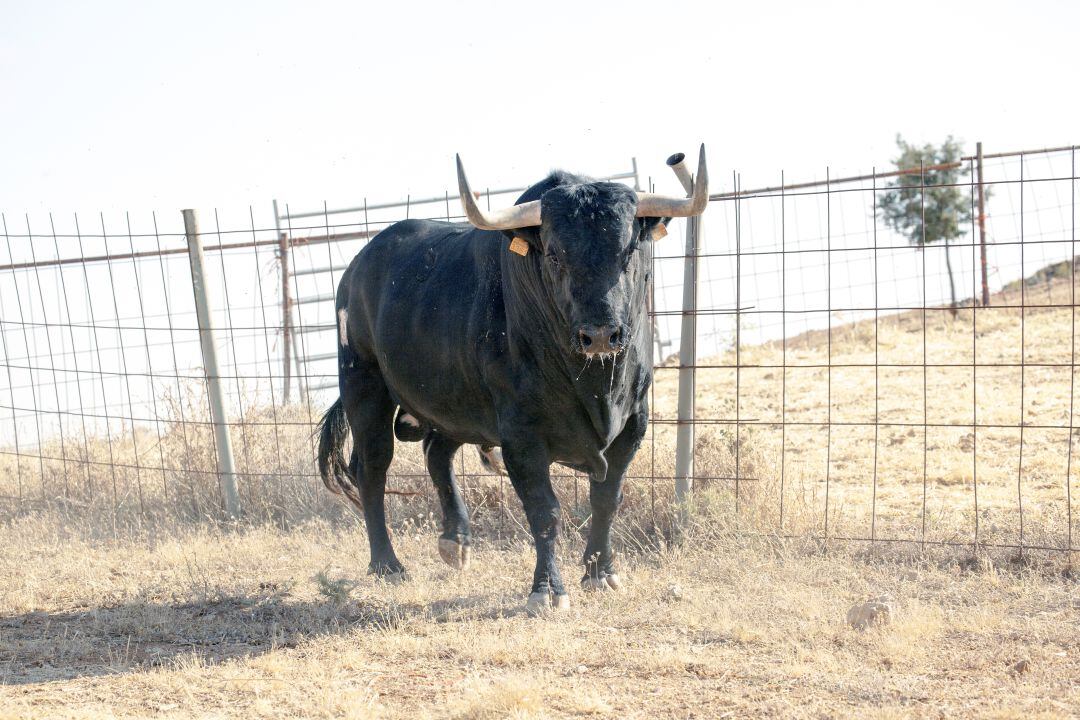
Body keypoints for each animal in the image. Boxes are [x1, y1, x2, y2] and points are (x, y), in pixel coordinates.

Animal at [315, 152, 704, 613]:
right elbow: (545, 511)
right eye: (554, 255)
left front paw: (601, 573)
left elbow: (607, 499)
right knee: (372, 467)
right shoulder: (521, 435)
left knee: (436, 453)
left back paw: (455, 541)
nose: (600, 335)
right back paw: (387, 564)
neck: (595, 385)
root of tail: (359, 266)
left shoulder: (632, 425)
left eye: (629, 251)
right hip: (364, 384)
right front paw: (547, 591)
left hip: (455, 403)